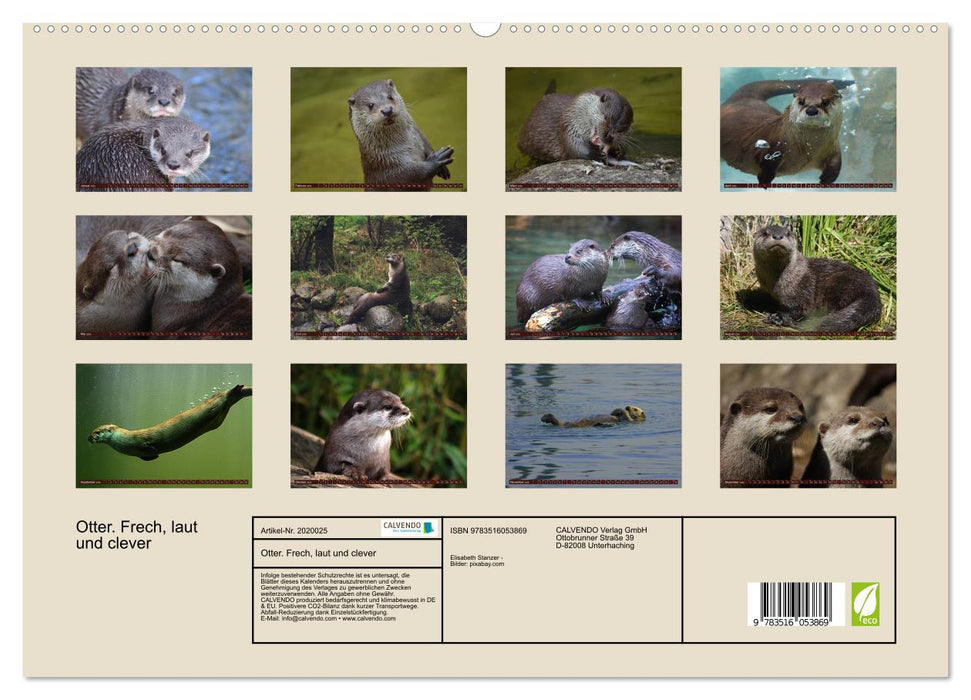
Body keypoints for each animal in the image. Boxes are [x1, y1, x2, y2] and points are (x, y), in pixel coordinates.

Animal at [88, 384, 252, 461]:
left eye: (97, 432)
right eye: (92, 431)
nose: (88, 437)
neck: (122, 440)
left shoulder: (140, 439)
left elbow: (148, 444)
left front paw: (153, 448)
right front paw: (154, 456)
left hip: (215, 403)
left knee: (224, 395)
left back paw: (236, 389)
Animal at [721, 78, 853, 185]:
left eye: (825, 102)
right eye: (801, 101)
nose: (811, 110)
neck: (808, 150)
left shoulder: (833, 147)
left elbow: (836, 164)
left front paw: (826, 180)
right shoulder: (774, 146)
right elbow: (767, 163)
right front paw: (765, 180)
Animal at [751, 224, 882, 332]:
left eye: (787, 233)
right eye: (765, 233)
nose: (778, 236)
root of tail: (872, 293)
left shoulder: (802, 292)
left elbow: (798, 309)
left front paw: (777, 317)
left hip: (839, 283)